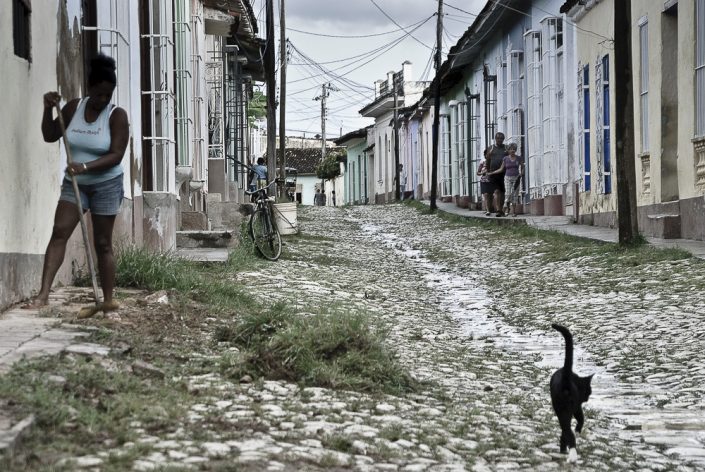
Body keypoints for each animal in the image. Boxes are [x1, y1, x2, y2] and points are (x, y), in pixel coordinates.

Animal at [548, 322, 592, 462]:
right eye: (589, 391)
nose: (587, 398)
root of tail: (565, 379)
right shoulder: (577, 406)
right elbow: (581, 418)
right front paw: (578, 429)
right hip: (566, 408)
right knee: (568, 431)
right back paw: (571, 453)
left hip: (560, 408)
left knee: (565, 430)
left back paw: (565, 450)